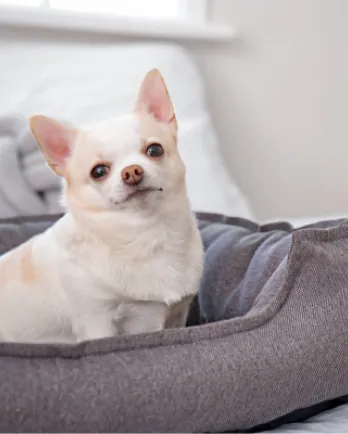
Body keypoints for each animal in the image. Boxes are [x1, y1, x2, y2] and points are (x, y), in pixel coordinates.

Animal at [0, 69, 204, 344]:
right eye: (98, 171)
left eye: (154, 150)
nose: (132, 171)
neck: (146, 234)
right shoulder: (96, 321)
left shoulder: (177, 316)